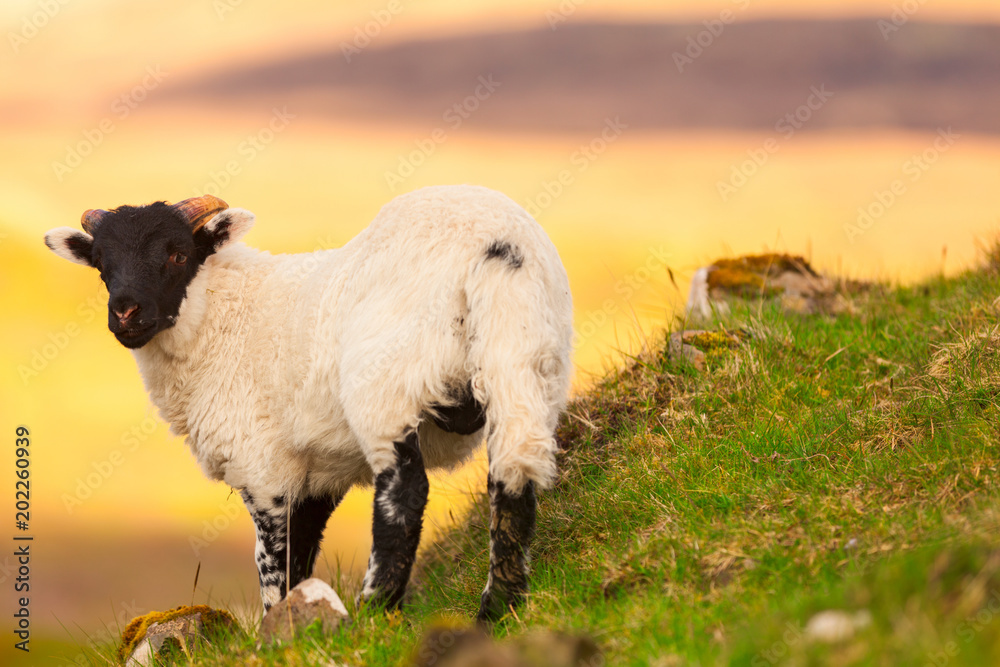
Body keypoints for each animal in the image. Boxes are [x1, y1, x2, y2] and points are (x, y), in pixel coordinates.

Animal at [44, 185, 573, 622]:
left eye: (177, 254)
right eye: (101, 263)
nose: (125, 314)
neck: (219, 315)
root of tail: (496, 247)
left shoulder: (264, 469)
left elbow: (274, 564)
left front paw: (276, 629)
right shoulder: (318, 471)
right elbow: (303, 553)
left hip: (388, 385)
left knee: (405, 494)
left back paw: (375, 612)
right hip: (527, 364)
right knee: (514, 475)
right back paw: (498, 611)